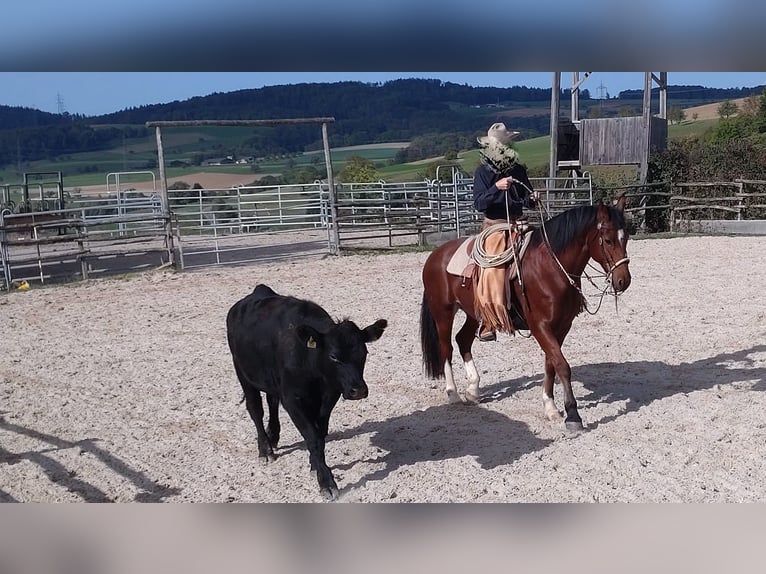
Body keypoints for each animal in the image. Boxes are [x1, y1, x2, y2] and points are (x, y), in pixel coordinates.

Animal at [424, 198, 632, 432]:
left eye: (626, 237)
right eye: (608, 240)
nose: (623, 280)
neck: (550, 267)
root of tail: (436, 255)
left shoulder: (561, 327)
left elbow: (551, 364)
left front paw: (550, 407)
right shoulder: (539, 326)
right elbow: (562, 366)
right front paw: (573, 415)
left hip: (474, 313)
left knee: (463, 340)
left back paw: (473, 390)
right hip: (443, 312)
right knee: (446, 347)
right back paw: (453, 394)